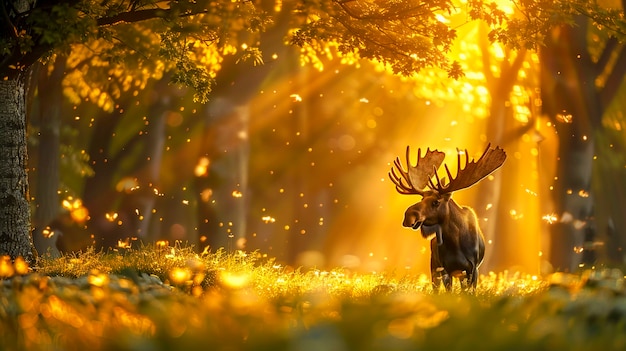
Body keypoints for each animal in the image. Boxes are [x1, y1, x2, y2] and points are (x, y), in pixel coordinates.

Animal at [388, 144, 504, 292]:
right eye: (422, 199)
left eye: (436, 202)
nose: (408, 215)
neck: (455, 243)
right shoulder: (444, 268)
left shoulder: (473, 268)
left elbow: (469, 292)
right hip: (434, 266)